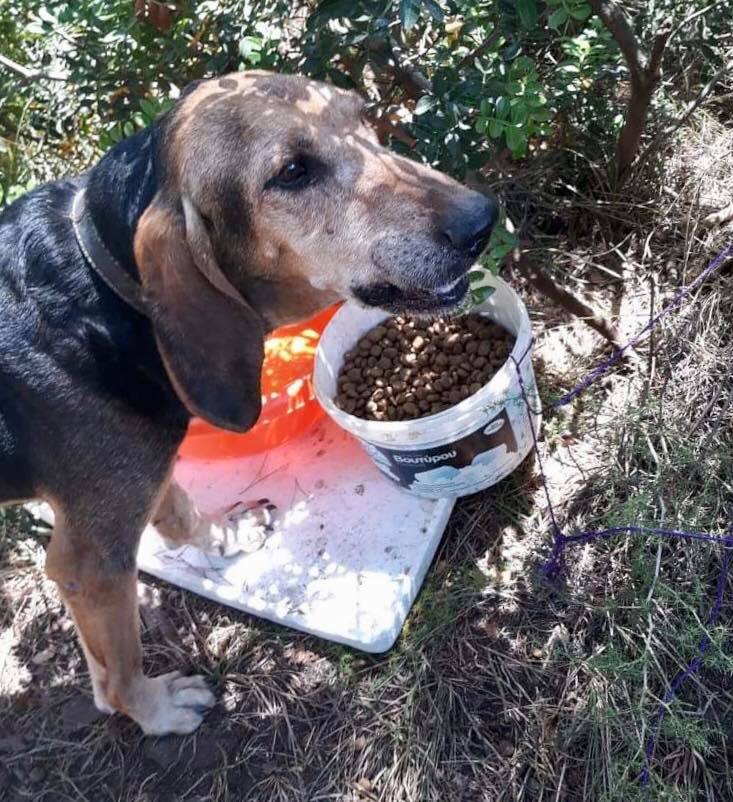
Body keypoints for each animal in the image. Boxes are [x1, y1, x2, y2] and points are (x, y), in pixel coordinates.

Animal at [0, 71, 496, 735]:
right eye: (292, 172)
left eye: (364, 118)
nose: (482, 220)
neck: (101, 288)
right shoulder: (90, 559)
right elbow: (119, 670)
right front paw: (155, 711)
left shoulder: (147, 475)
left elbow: (180, 510)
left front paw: (224, 537)